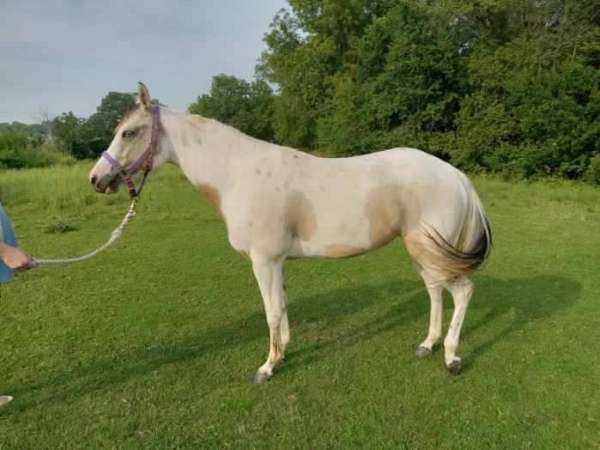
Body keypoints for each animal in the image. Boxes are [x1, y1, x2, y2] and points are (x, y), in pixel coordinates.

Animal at [89, 82, 492, 382]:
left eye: (129, 132)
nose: (96, 179)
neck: (237, 173)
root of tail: (456, 176)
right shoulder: (276, 262)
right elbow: (281, 306)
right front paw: (282, 352)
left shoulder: (264, 261)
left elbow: (270, 311)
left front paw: (267, 367)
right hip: (422, 252)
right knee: (436, 291)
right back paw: (428, 345)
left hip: (431, 251)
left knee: (462, 292)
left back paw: (452, 358)